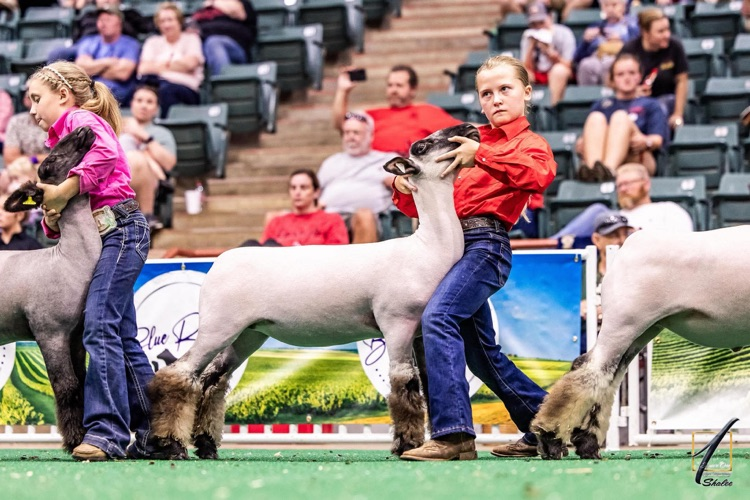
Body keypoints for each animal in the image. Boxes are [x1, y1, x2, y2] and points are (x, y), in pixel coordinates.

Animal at [1, 126, 99, 452]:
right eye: (51, 160)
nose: (83, 129)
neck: (68, 260)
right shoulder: (50, 331)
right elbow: (65, 385)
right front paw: (75, 440)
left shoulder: (75, 334)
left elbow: (81, 381)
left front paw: (81, 436)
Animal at [147, 123, 480, 460]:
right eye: (423, 146)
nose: (469, 128)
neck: (428, 247)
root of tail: (219, 262)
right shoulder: (398, 323)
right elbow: (405, 385)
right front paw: (407, 445)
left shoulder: (420, 331)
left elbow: (430, 384)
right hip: (218, 326)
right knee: (179, 374)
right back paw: (171, 445)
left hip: (247, 334)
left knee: (212, 381)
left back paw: (205, 445)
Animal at [531, 226, 750, 459]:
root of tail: (629, 245)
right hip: (624, 323)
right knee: (588, 372)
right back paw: (551, 439)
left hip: (642, 331)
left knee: (606, 378)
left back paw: (587, 443)